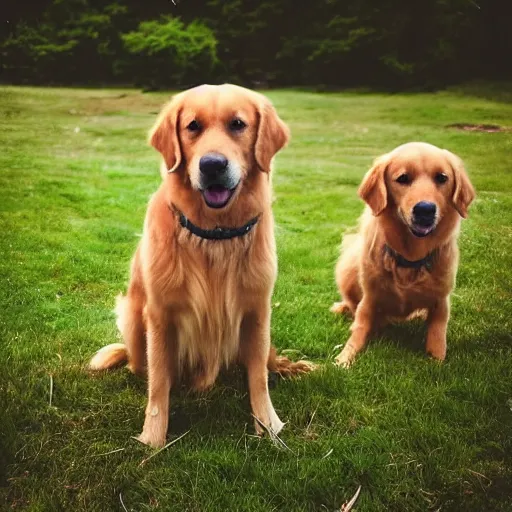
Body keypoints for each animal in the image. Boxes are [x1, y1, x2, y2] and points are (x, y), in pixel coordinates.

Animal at [89, 83, 312, 444]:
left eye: (238, 124)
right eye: (192, 126)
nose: (212, 165)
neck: (214, 235)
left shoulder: (258, 309)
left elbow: (258, 378)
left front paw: (268, 426)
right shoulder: (160, 315)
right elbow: (159, 385)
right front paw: (153, 438)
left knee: (267, 361)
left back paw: (288, 366)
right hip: (134, 320)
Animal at [332, 143, 476, 368]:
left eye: (442, 178)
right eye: (403, 178)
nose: (425, 209)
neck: (410, 258)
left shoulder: (441, 302)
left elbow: (437, 340)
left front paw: (437, 360)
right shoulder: (369, 299)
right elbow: (357, 333)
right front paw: (343, 359)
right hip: (347, 268)